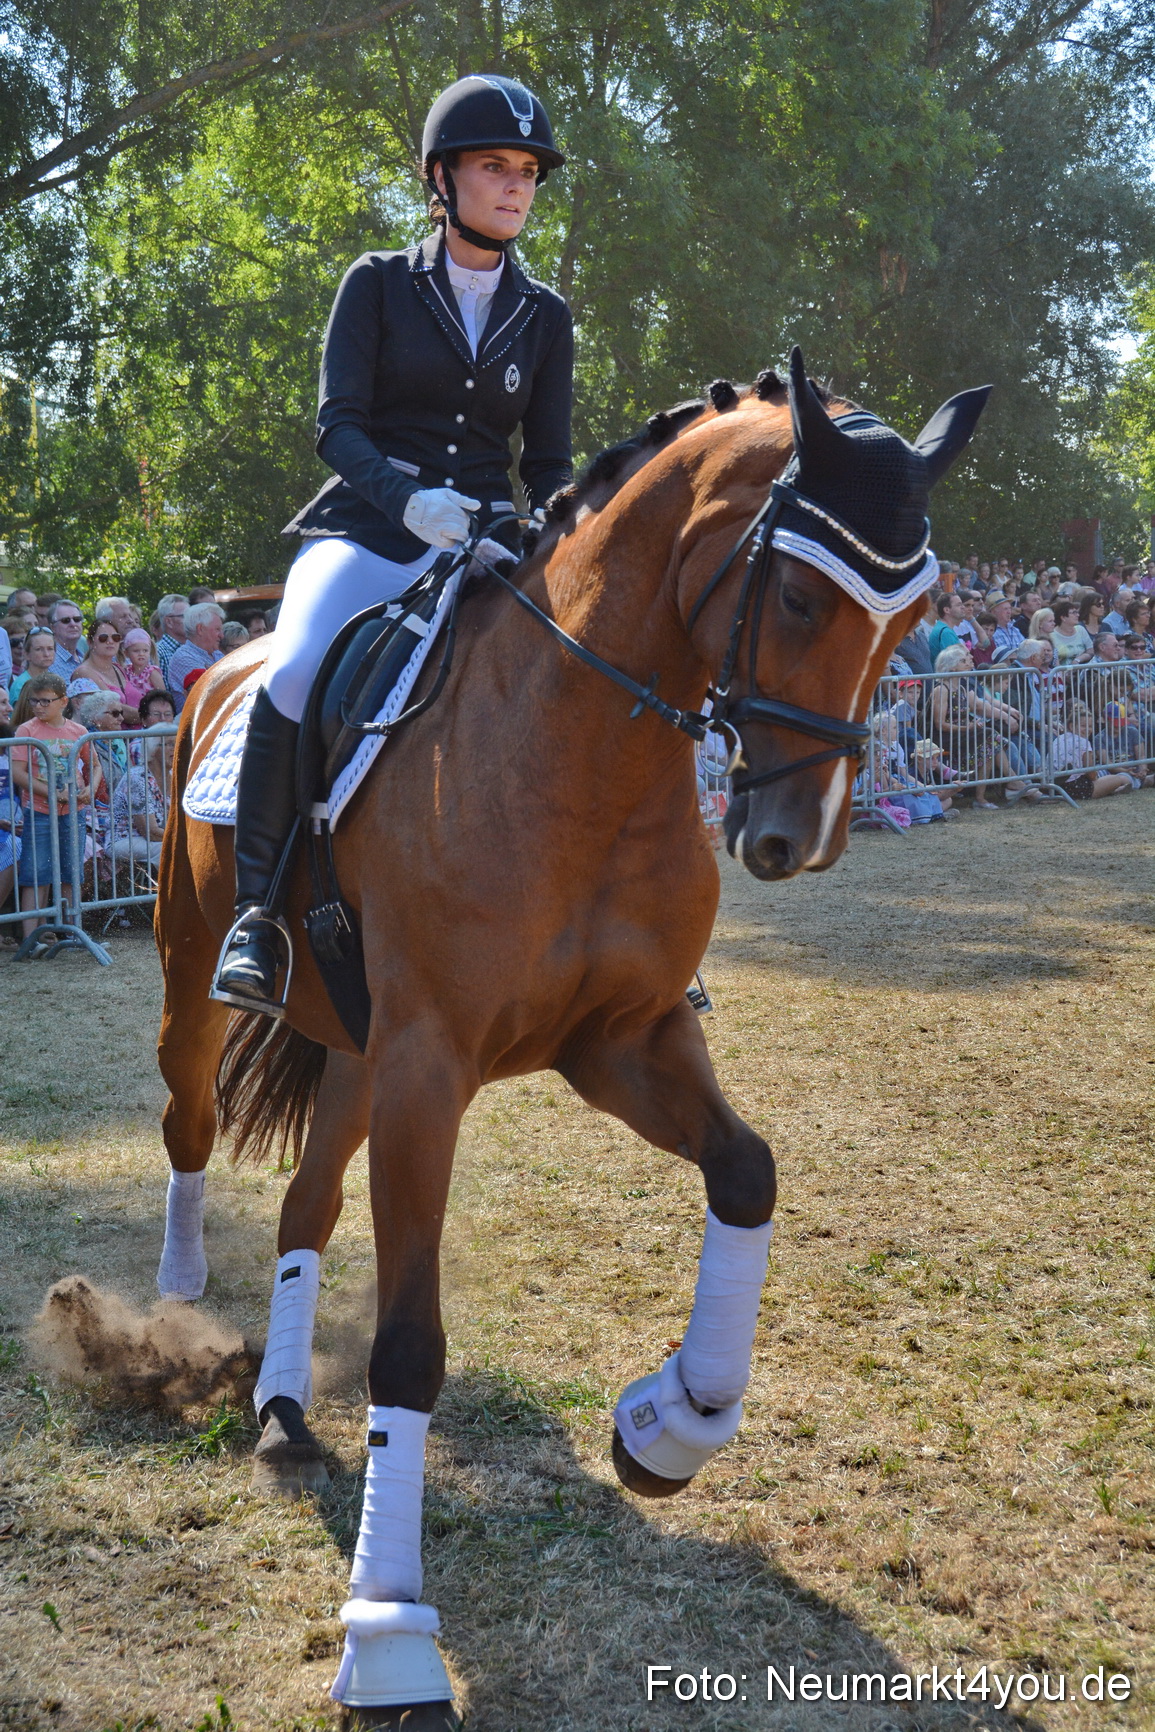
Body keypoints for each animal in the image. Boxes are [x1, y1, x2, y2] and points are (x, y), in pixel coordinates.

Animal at [152, 352, 986, 1726]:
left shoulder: (621, 1038)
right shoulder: (433, 1065)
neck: (579, 743)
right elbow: (410, 1346)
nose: (796, 835)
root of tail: (235, 655)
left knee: (304, 1209)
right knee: (189, 1115)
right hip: (199, 971)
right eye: (799, 595)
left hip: (359, 1050)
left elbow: (747, 1172)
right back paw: (170, 1290)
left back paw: (278, 1405)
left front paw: (673, 1421)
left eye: (916, 614)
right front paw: (390, 1632)